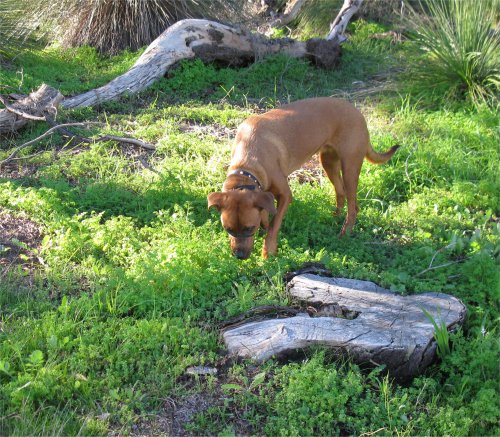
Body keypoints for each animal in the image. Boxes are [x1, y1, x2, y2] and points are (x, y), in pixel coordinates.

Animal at [208, 97, 399, 259]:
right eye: (228, 229)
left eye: (249, 228)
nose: (240, 256)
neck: (247, 165)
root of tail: (357, 112)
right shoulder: (263, 193)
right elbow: (266, 216)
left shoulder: (285, 195)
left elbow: (273, 227)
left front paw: (268, 252)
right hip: (328, 162)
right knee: (340, 192)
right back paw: (334, 217)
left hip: (350, 167)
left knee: (353, 207)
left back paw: (344, 233)